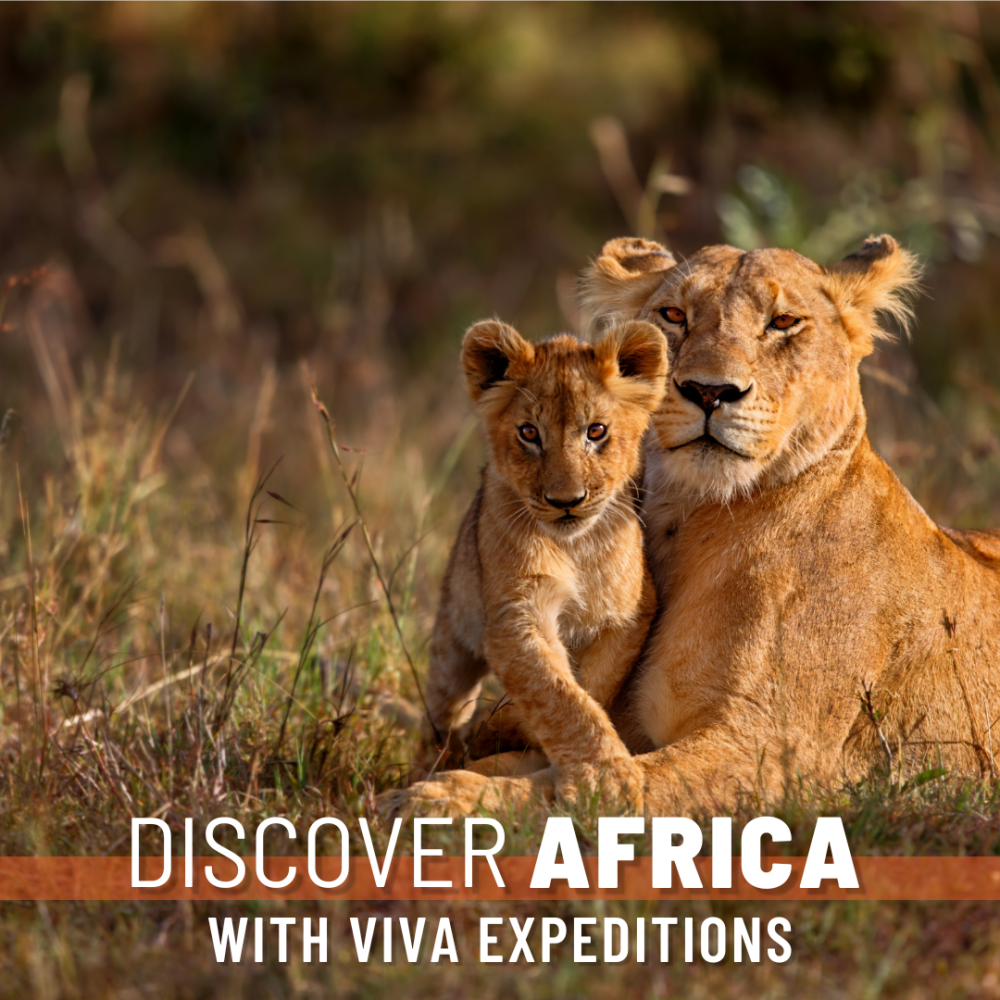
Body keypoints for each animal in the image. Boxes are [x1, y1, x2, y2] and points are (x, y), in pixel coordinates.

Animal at [422, 318, 667, 792]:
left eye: (596, 431)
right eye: (529, 433)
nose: (565, 501)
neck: (575, 547)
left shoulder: (629, 613)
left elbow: (589, 687)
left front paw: (510, 729)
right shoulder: (515, 617)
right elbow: (559, 696)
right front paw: (606, 778)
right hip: (451, 640)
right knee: (442, 715)